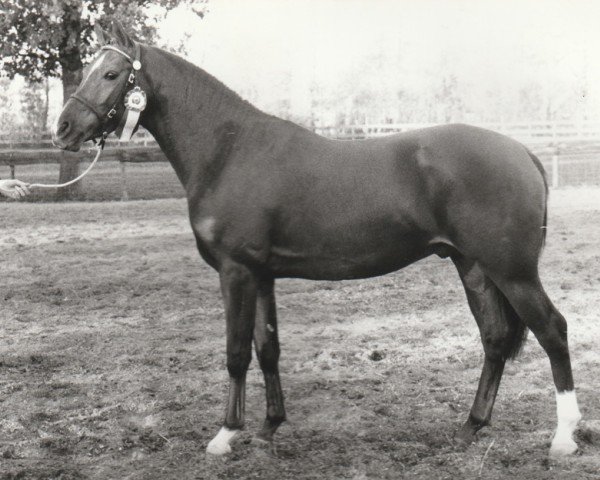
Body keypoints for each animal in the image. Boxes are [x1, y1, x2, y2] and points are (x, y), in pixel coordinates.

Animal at [52, 23, 580, 458]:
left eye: (112, 73)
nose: (62, 129)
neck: (229, 151)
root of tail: (523, 151)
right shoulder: (261, 274)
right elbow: (267, 348)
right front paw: (269, 427)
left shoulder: (236, 272)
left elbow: (236, 351)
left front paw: (225, 435)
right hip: (472, 267)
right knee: (495, 339)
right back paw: (470, 426)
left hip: (512, 272)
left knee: (552, 331)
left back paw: (563, 439)